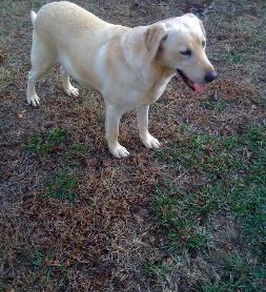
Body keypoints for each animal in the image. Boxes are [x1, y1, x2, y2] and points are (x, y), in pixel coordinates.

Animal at [27, 1, 216, 159]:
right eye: (185, 52)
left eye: (203, 43)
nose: (213, 76)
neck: (149, 67)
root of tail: (44, 8)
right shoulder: (113, 108)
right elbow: (114, 132)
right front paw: (116, 149)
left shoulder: (144, 104)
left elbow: (144, 124)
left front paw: (147, 140)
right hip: (43, 60)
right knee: (30, 76)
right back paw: (32, 97)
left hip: (67, 59)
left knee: (63, 71)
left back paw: (69, 89)